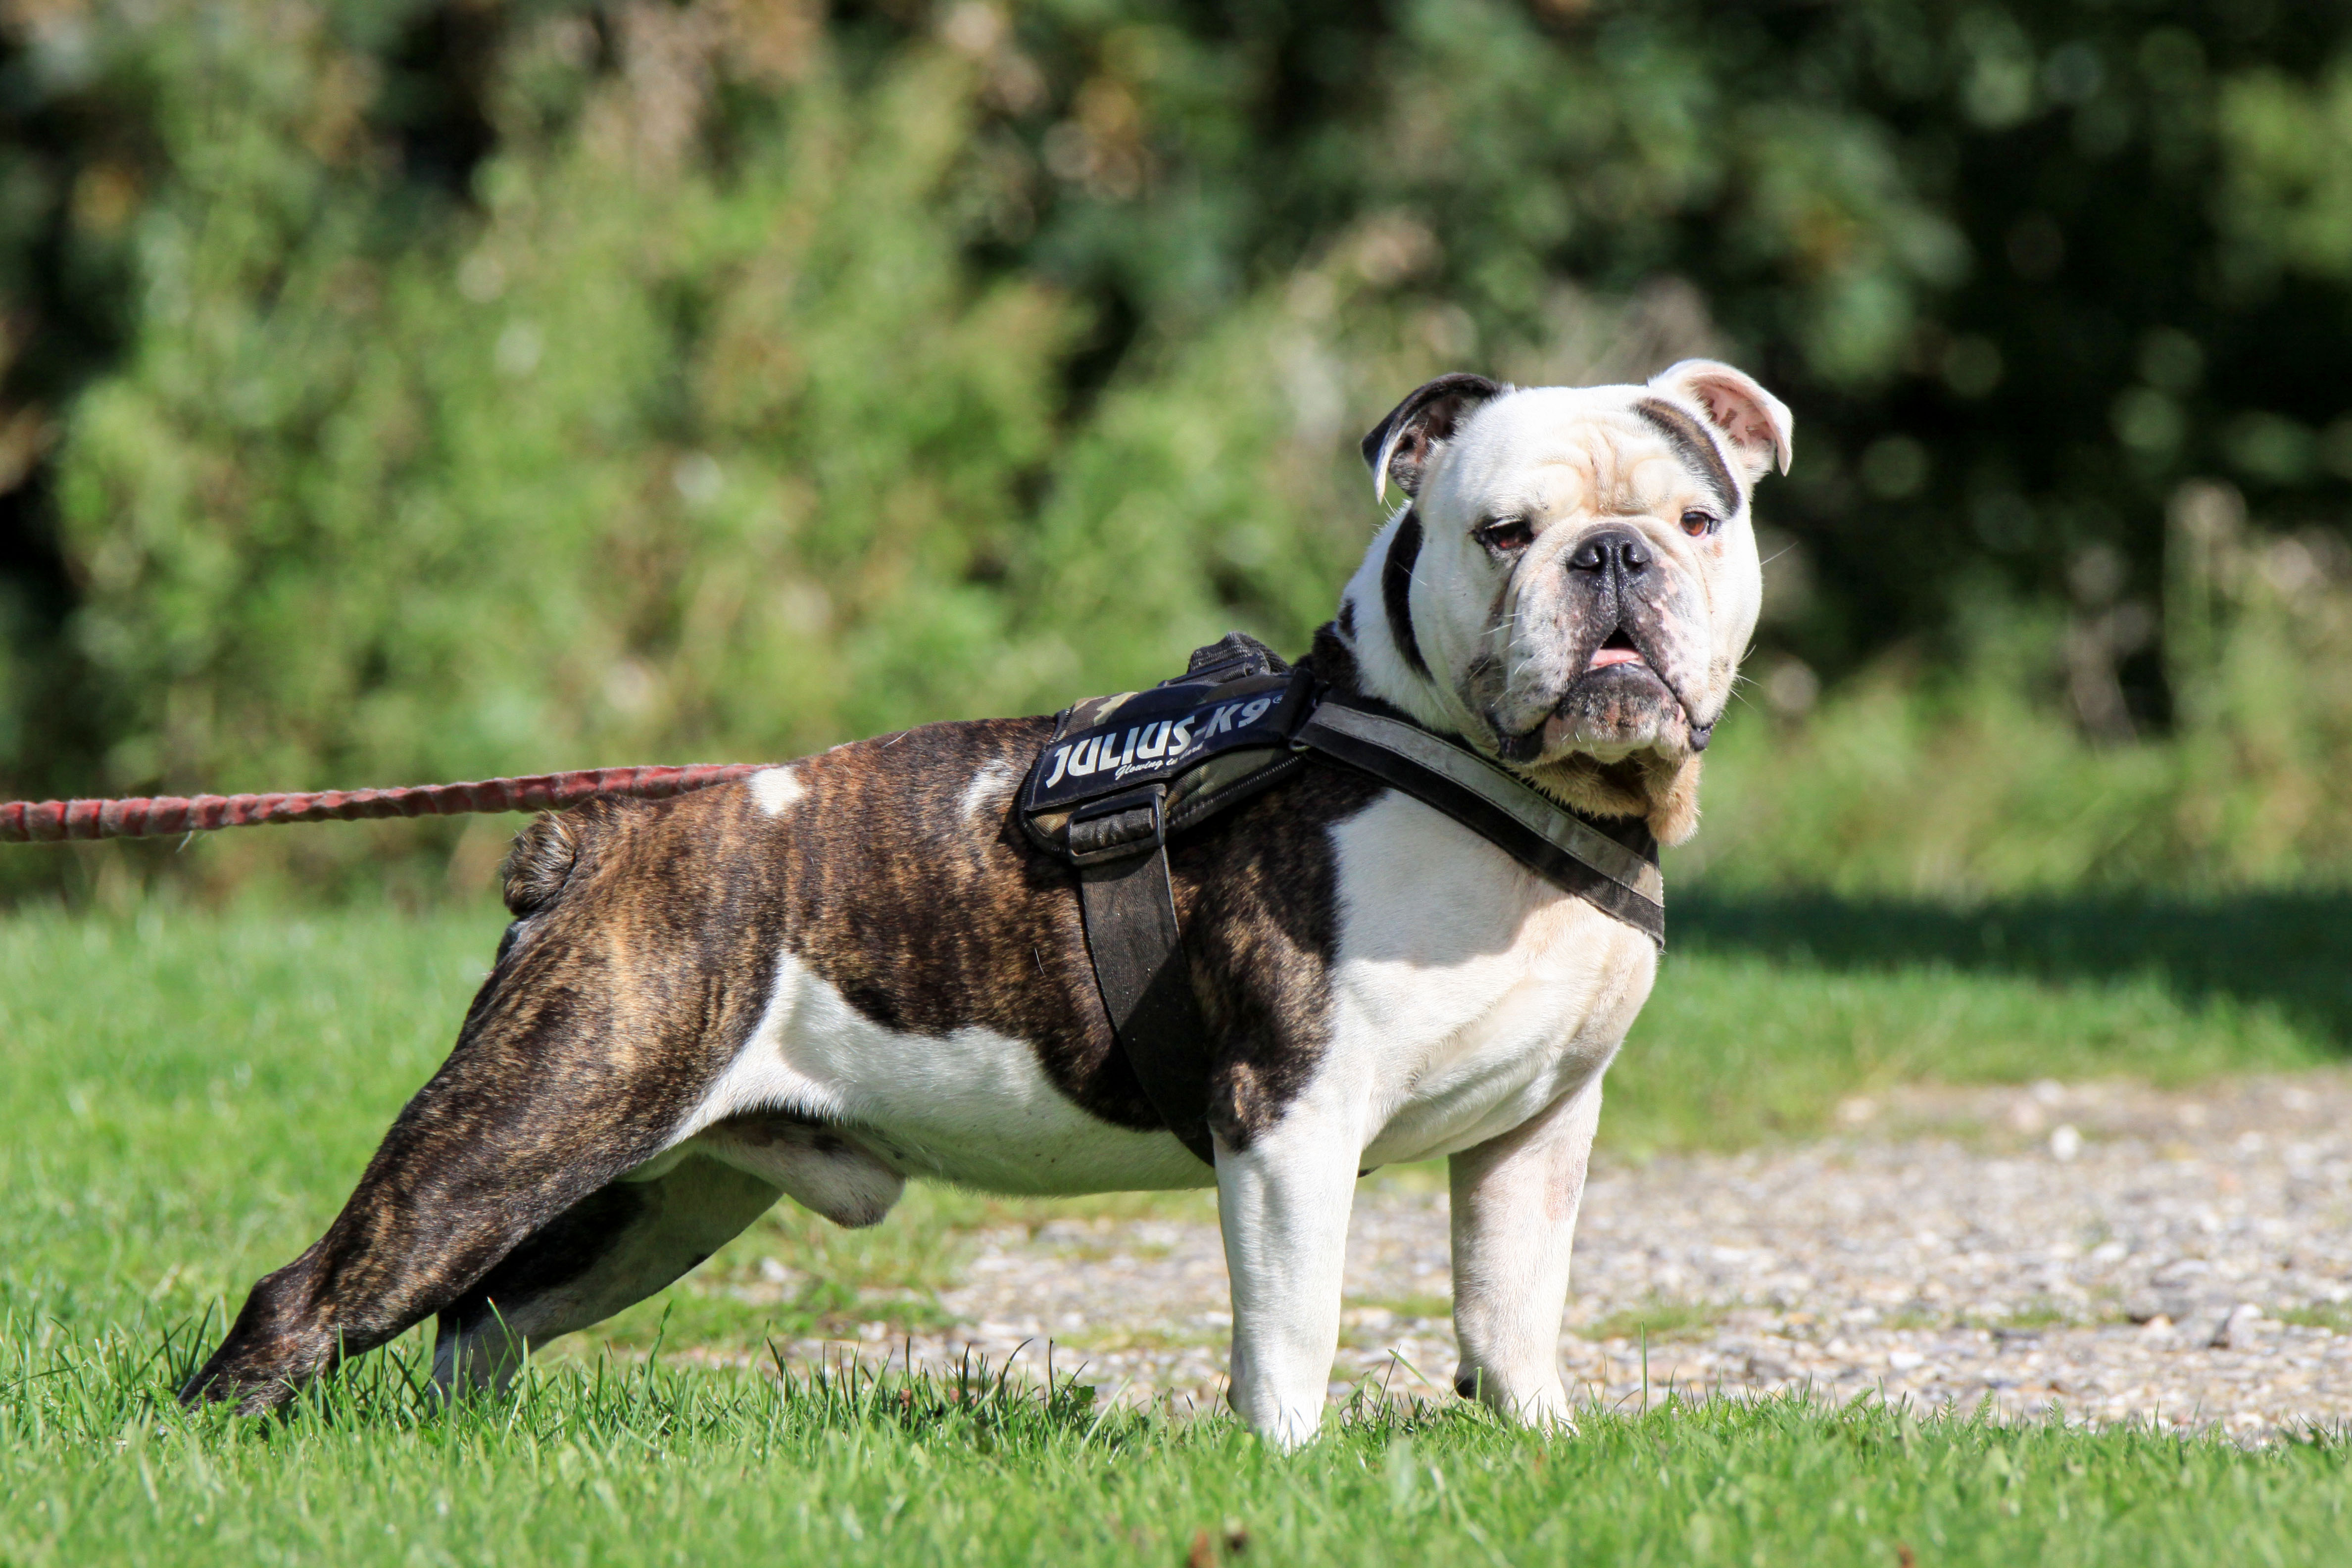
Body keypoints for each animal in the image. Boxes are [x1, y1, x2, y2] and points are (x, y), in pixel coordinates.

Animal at [183, 355, 1787, 1448]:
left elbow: (1511, 1306)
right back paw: (214, 1450)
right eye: (1503, 532)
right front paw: (1284, 1466)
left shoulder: (1537, 1130)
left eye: (1700, 518)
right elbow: (1294, 1321)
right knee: (313, 1297)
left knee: (486, 1315)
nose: (1614, 553)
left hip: (650, 1191)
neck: (1481, 776)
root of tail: (591, 847)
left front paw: (1542, 1444)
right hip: (519, 1128)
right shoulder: (1290, 1121)